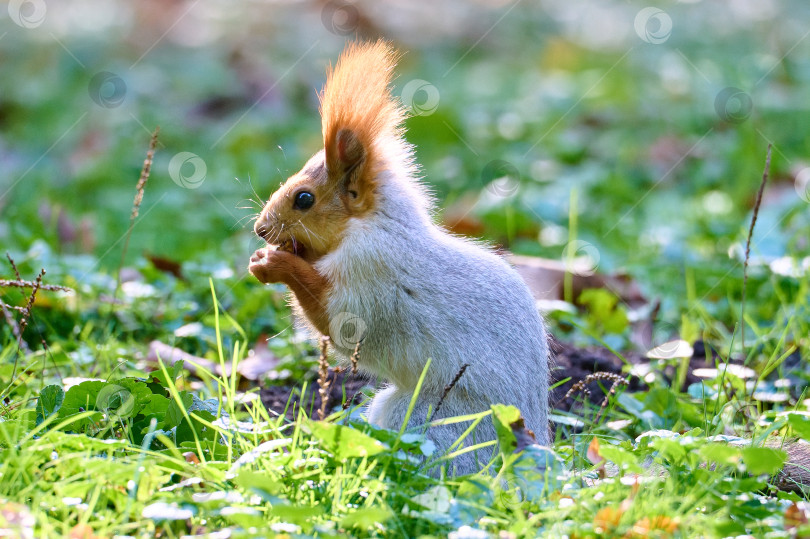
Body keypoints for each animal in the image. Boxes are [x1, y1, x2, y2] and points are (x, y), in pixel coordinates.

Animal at [248, 40, 548, 474]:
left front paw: (274, 264)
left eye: (303, 199)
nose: (260, 229)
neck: (379, 226)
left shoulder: (373, 272)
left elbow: (340, 321)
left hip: (431, 421)